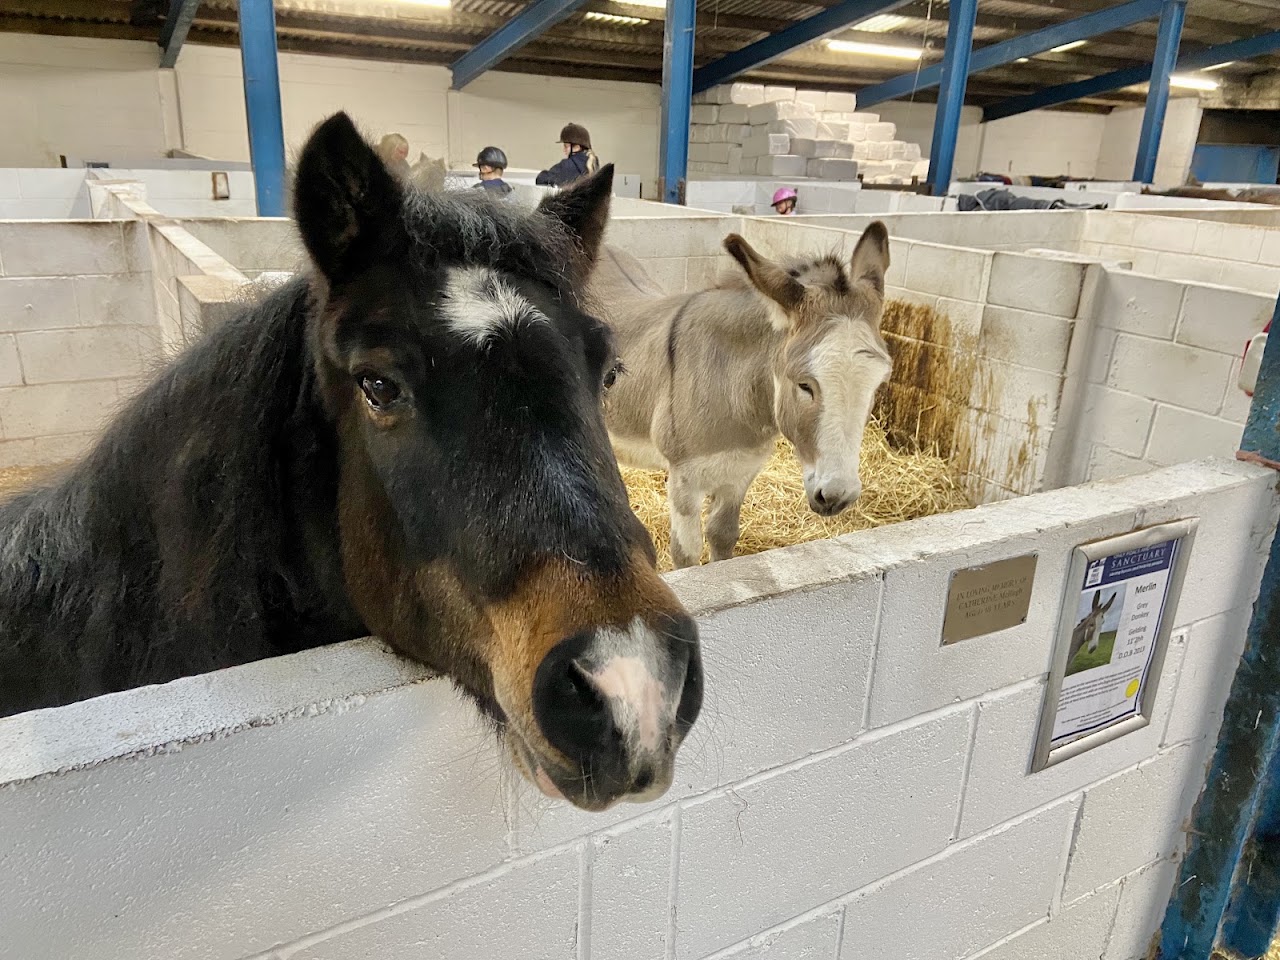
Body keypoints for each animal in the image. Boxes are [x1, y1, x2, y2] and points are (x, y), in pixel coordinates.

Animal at [593, 223, 892, 569]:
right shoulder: (684, 482)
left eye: (879, 383)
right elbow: (686, 554)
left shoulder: (741, 473)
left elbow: (723, 536)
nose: (837, 496)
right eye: (804, 385)